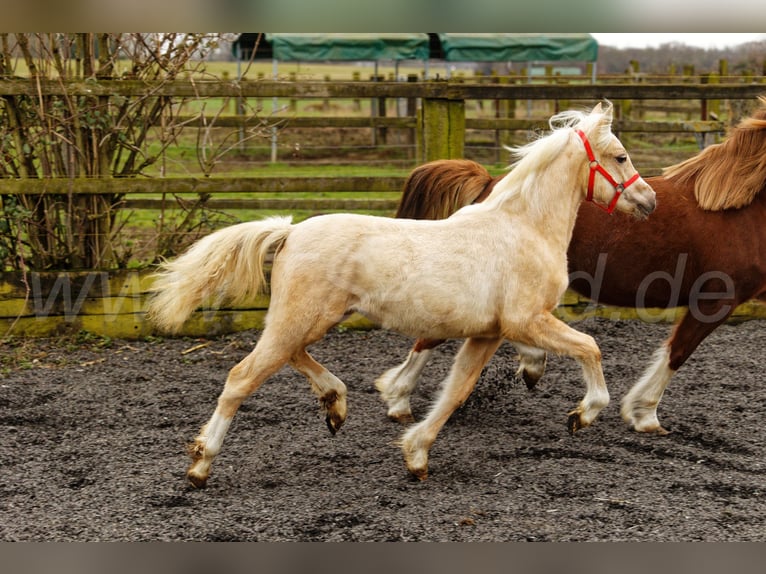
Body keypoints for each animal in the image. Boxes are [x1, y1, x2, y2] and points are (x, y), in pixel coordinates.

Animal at [152, 102, 660, 486]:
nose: (649, 200)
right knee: (242, 376)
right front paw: (582, 414)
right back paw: (200, 465)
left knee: (293, 356)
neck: (524, 227)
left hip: (309, 320)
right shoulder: (526, 320)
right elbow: (590, 347)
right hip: (300, 318)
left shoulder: (488, 334)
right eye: (620, 156)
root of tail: (290, 232)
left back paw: (335, 405)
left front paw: (416, 454)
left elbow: (456, 390)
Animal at [376, 95, 766, 436]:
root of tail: (490, 185)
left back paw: (528, 365)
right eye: (621, 157)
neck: (740, 210)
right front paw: (642, 414)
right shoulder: (716, 300)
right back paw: (399, 399)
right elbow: (677, 352)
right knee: (434, 334)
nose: (649, 201)